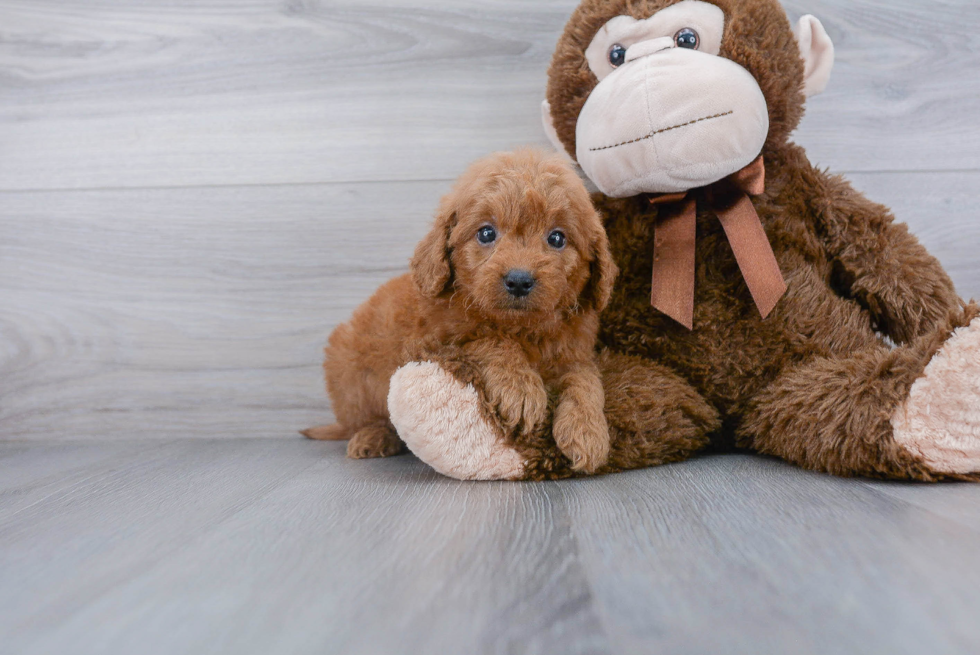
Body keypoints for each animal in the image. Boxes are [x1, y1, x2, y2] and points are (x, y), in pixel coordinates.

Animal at [302, 151, 616, 474]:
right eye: (486, 233)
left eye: (557, 238)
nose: (519, 280)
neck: (521, 327)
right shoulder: (435, 341)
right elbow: (489, 340)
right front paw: (521, 388)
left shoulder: (575, 352)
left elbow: (585, 377)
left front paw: (588, 430)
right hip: (351, 375)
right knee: (366, 418)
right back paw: (372, 436)